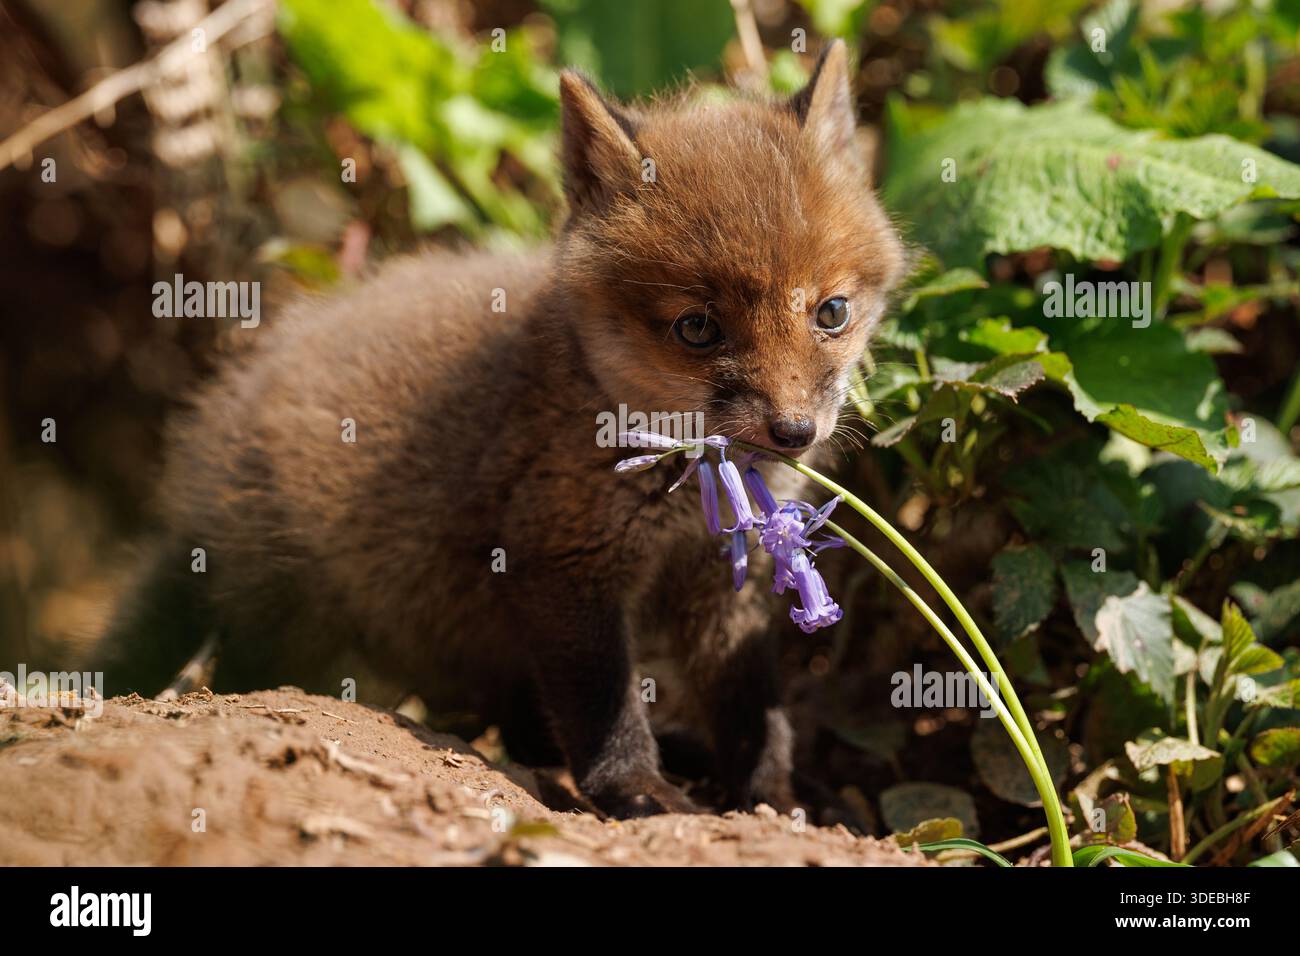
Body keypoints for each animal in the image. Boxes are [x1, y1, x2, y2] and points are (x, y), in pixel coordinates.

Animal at [92, 40, 905, 819]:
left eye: (832, 312)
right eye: (697, 328)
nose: (794, 431)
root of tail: (220, 426)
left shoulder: (728, 577)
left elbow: (752, 712)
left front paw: (776, 797)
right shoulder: (561, 564)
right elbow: (604, 709)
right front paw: (639, 793)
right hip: (295, 623)